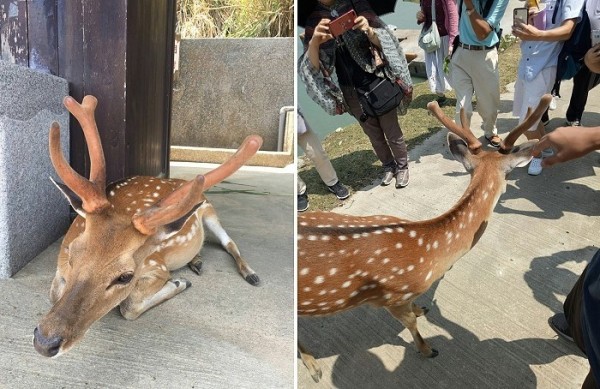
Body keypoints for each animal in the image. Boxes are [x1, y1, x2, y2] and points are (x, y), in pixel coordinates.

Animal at [32, 95, 262, 356]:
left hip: (210, 212)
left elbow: (129, 306)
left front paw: (179, 282)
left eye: (125, 277)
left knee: (230, 243)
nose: (44, 342)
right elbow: (53, 293)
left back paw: (250, 274)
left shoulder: (157, 265)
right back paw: (197, 261)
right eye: (72, 253)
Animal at [296, 94, 552, 382]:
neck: (429, 254)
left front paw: (421, 309)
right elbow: (410, 323)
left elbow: (414, 312)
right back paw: (314, 367)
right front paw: (427, 349)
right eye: (507, 178)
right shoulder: (391, 298)